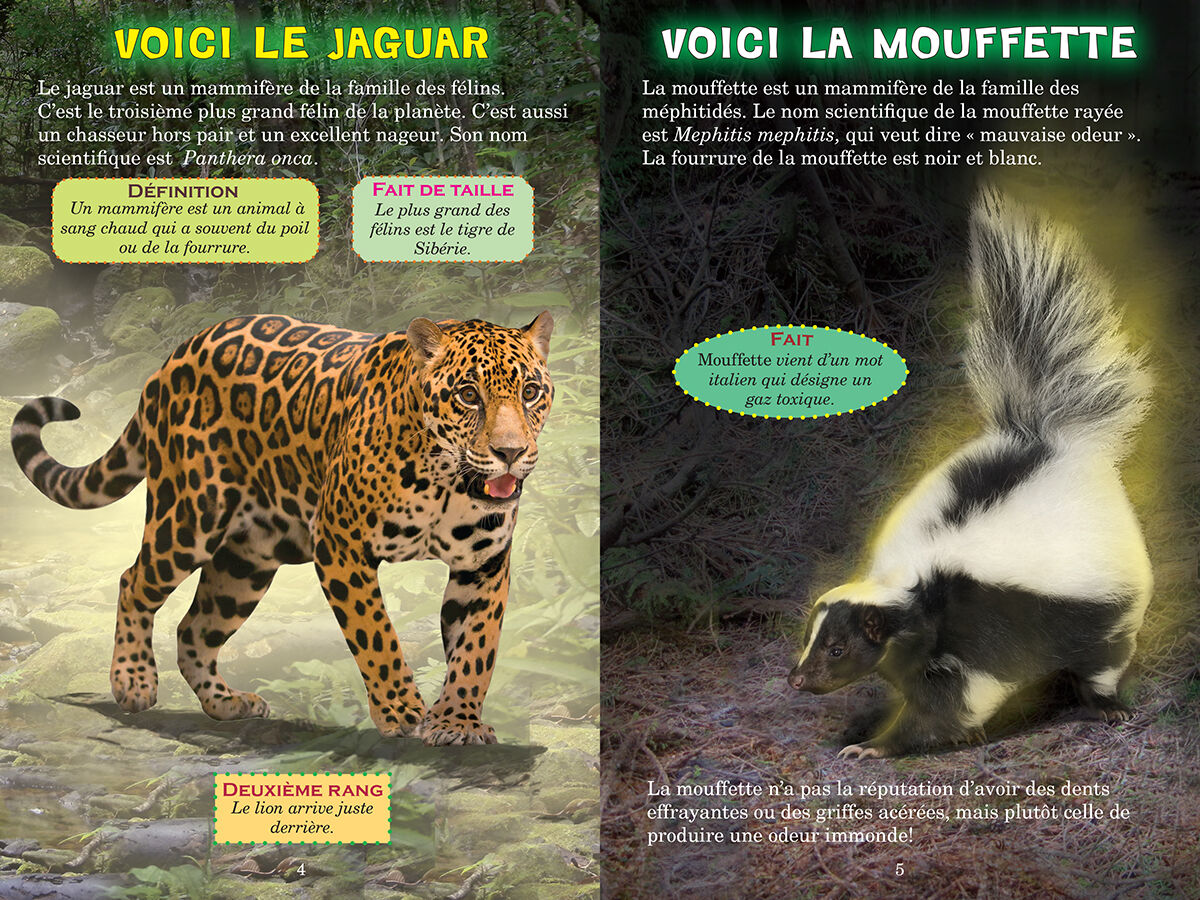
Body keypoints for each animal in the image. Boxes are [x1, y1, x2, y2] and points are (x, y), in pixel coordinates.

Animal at [10, 311, 554, 746]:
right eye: (468, 395)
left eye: (530, 392)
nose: (510, 453)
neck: (447, 478)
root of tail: (171, 360)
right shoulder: (339, 544)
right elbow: (376, 634)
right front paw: (402, 711)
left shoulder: (483, 563)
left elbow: (475, 648)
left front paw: (458, 722)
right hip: (190, 516)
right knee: (134, 581)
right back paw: (133, 682)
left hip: (247, 562)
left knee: (194, 628)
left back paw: (226, 702)